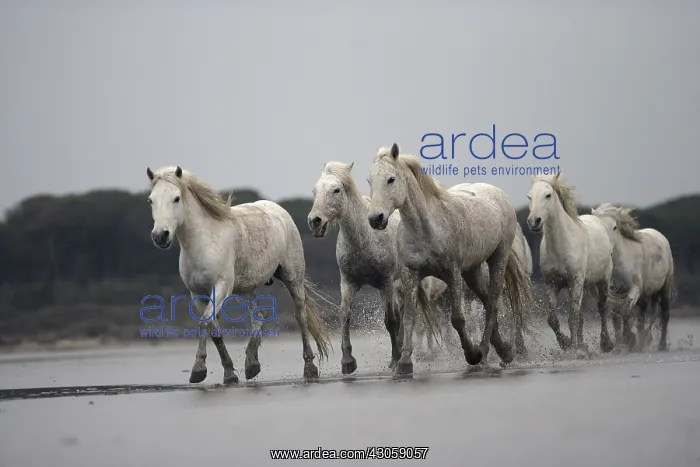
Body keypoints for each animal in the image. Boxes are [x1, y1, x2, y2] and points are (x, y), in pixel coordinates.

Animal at [146, 165, 331, 384]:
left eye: (176, 198)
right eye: (151, 200)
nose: (160, 236)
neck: (204, 242)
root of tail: (279, 210)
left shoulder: (221, 287)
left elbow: (205, 321)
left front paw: (198, 369)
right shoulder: (197, 294)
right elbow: (213, 328)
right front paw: (229, 373)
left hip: (292, 278)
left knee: (300, 316)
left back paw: (309, 367)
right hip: (246, 289)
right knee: (258, 318)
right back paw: (252, 365)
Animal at [307, 161, 441, 374]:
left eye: (336, 190)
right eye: (315, 190)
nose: (315, 221)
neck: (363, 240)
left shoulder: (385, 282)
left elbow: (391, 320)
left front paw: (395, 359)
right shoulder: (348, 282)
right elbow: (344, 315)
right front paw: (347, 361)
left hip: (399, 284)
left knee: (400, 314)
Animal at [526, 172, 616, 356]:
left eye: (548, 195)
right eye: (529, 196)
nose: (534, 221)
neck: (561, 246)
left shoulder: (576, 281)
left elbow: (572, 318)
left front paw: (574, 350)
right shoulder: (552, 284)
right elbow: (553, 319)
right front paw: (567, 344)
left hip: (603, 281)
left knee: (602, 308)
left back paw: (605, 344)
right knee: (582, 314)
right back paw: (583, 345)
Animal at [591, 203, 675, 351]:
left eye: (614, 227)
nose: (608, 252)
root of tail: (661, 237)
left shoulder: (634, 288)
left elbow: (626, 310)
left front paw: (629, 339)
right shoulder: (615, 291)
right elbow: (617, 316)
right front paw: (620, 342)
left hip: (665, 285)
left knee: (664, 314)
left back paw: (661, 345)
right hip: (646, 293)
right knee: (642, 316)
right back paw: (643, 340)